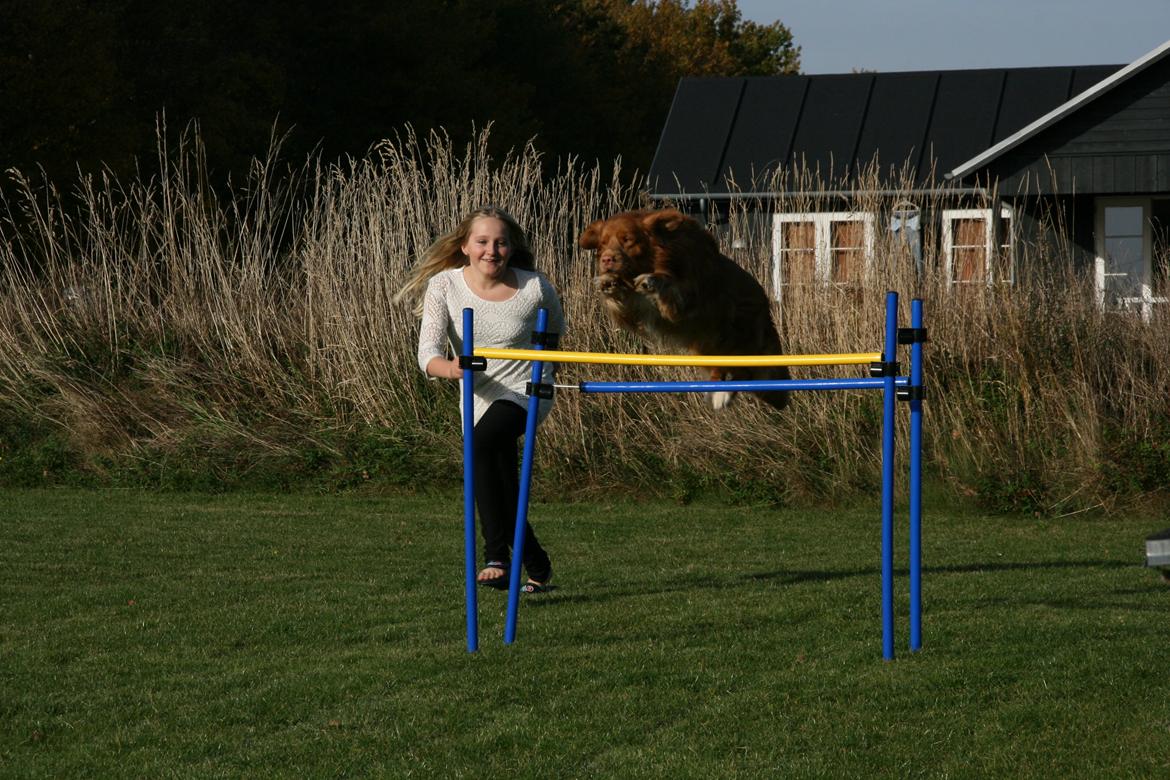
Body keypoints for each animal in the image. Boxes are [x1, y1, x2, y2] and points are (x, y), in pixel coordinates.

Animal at [580, 206, 790, 413]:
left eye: (628, 239)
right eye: (603, 243)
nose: (607, 259)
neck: (657, 260)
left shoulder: (688, 297)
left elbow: (669, 286)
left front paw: (650, 281)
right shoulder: (636, 311)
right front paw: (609, 282)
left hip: (737, 337)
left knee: (744, 370)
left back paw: (723, 394)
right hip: (707, 348)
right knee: (725, 367)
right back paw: (717, 389)